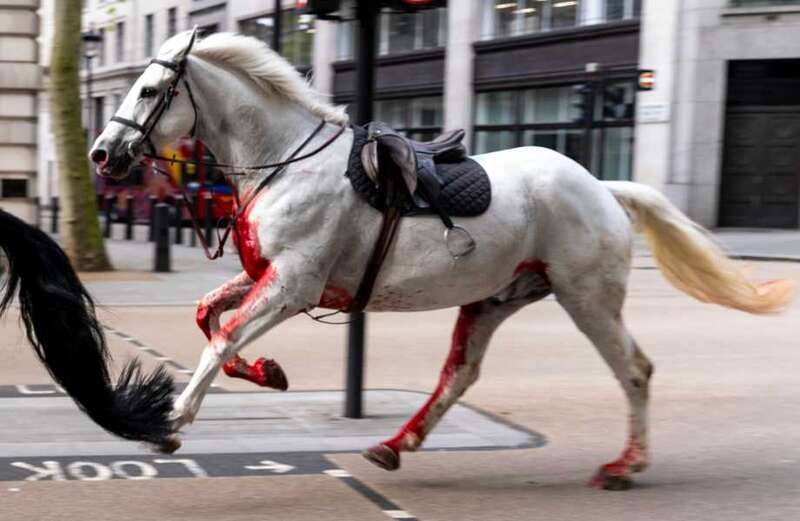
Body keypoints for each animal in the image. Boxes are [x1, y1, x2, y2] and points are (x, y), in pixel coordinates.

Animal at [89, 30, 792, 490]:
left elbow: (223, 337)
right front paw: (268, 372)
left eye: (150, 89)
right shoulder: (269, 277)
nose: (101, 154)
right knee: (460, 374)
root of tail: (600, 186)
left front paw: (171, 421)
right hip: (495, 298)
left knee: (635, 370)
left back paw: (626, 465)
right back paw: (396, 445)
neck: (285, 161)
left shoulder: (293, 284)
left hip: (586, 297)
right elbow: (210, 317)